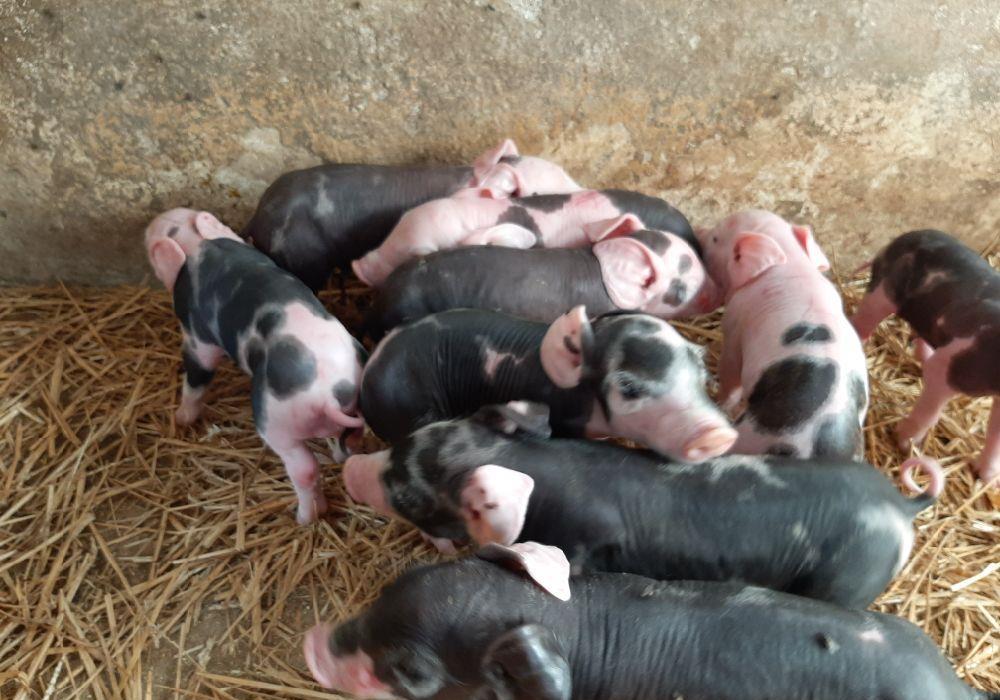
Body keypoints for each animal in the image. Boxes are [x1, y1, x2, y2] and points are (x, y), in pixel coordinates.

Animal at [144, 208, 366, 524]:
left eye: (160, 235)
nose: (155, 220)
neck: (201, 245)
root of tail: (330, 394)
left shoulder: (198, 338)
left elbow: (197, 378)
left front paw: (181, 419)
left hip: (277, 423)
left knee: (305, 469)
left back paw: (304, 518)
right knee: (349, 444)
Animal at [343, 404, 944, 608]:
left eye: (407, 491)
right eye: (412, 437)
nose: (353, 468)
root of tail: (901, 507)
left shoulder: (578, 547)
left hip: (851, 580)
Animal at [697, 210, 869, 460]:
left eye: (716, 238)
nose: (698, 230)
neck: (789, 263)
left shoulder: (735, 328)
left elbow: (730, 375)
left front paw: (722, 404)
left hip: (750, 436)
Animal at [852, 230, 1000, 484]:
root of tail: (902, 239)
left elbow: (995, 435)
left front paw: (986, 478)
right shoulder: (952, 362)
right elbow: (931, 409)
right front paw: (904, 444)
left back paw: (922, 356)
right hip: (882, 293)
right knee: (862, 323)